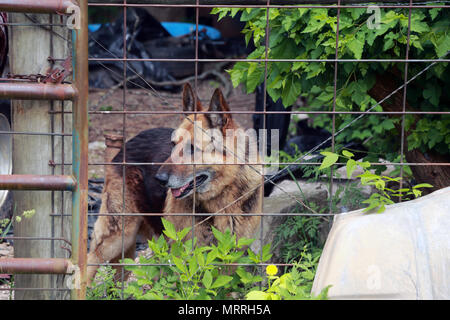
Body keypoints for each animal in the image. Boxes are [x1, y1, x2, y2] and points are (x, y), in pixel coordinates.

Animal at [87, 83, 262, 282]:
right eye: (173, 144)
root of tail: (125, 145)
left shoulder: (230, 258)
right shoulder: (186, 255)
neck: (222, 198)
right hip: (119, 235)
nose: (159, 179)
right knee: (89, 262)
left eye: (192, 148)